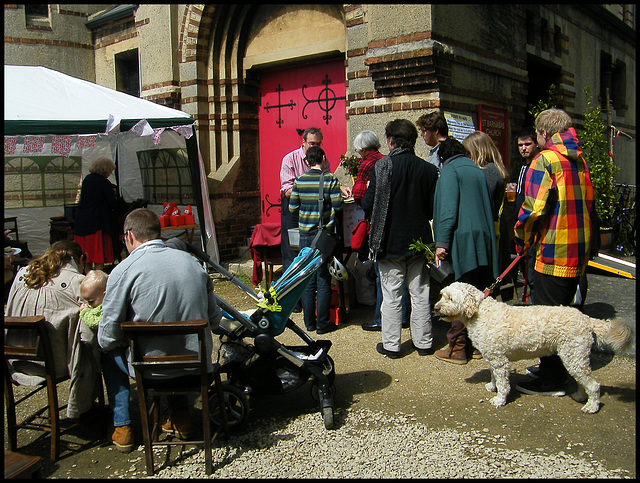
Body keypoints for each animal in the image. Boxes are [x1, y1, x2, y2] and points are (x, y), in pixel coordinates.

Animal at [432, 282, 632, 414]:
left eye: (450, 298)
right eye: (441, 295)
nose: (436, 307)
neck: (480, 312)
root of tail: (586, 318)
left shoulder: (500, 361)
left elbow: (503, 383)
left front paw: (499, 399)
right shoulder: (493, 357)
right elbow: (493, 375)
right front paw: (492, 386)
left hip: (574, 356)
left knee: (594, 385)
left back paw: (592, 406)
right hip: (575, 358)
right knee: (584, 381)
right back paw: (580, 396)